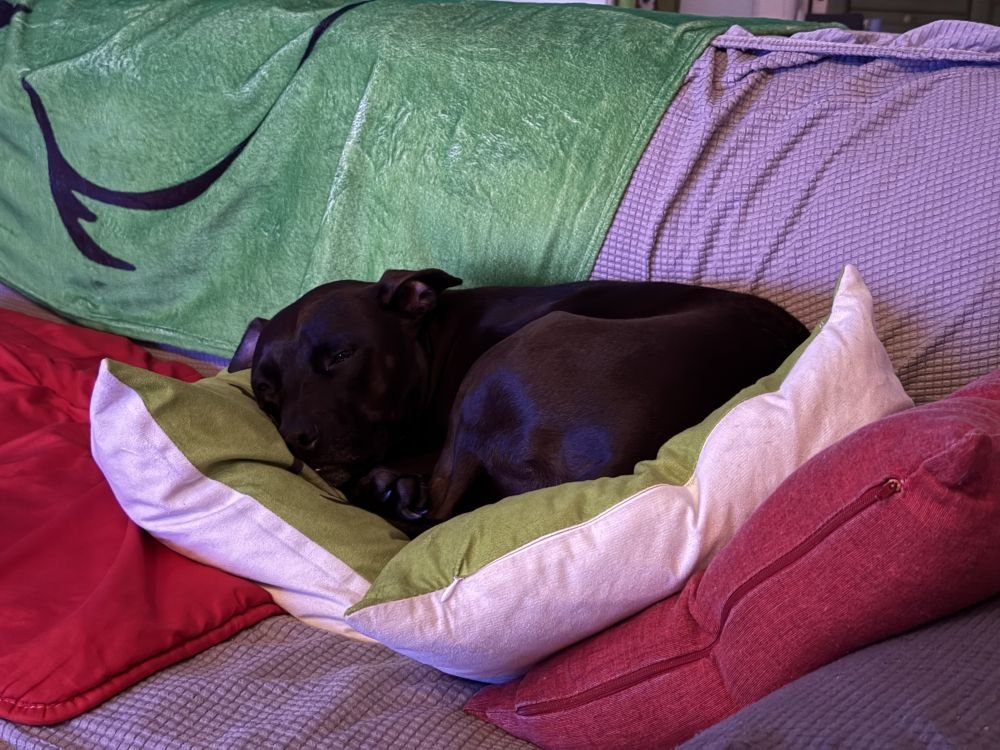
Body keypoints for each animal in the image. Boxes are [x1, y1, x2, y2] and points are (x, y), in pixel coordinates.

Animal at [229, 268, 808, 535]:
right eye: (265, 389)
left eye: (342, 354)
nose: (297, 439)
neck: (432, 344)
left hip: (503, 364)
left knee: (434, 509)